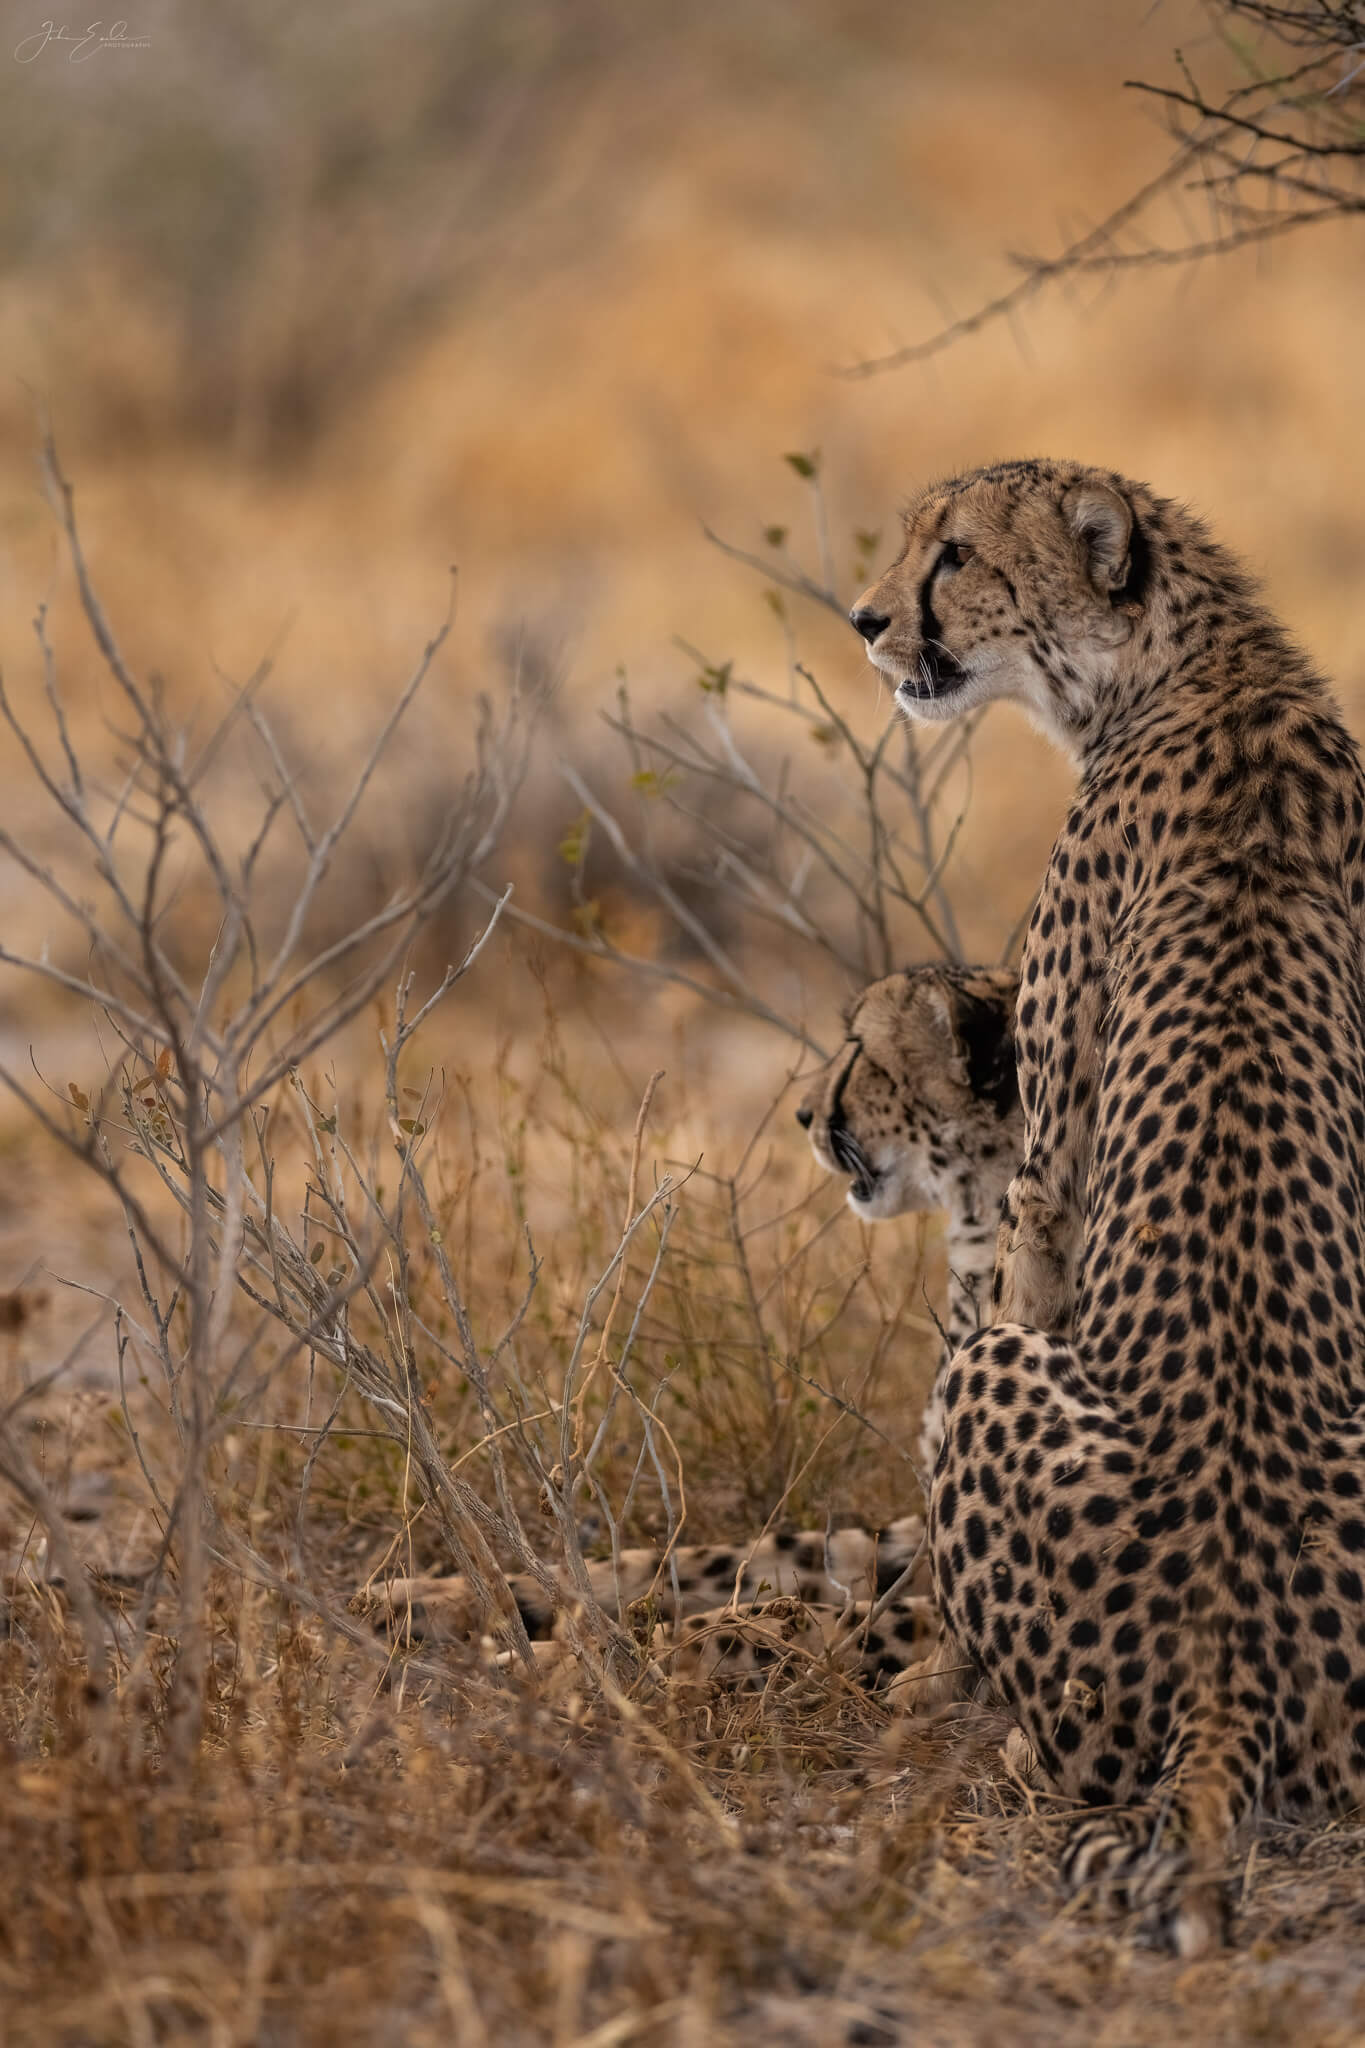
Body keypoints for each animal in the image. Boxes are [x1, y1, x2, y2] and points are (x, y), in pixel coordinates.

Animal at [850, 455, 1365, 1953]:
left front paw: (933, 1678)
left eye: (953, 554)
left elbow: (1022, 1262)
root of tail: (1234, 1654)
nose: (862, 621)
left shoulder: (1049, 1137)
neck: (1191, 661)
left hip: (991, 1399)